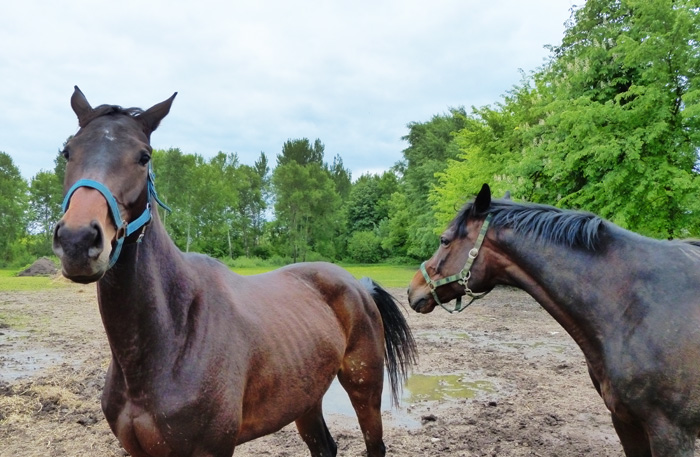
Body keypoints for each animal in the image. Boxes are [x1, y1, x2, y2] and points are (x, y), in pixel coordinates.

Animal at [54, 86, 418, 456]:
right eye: (68, 151)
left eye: (144, 157)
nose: (78, 240)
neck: (172, 336)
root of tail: (357, 286)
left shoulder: (213, 449)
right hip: (305, 396)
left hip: (365, 389)